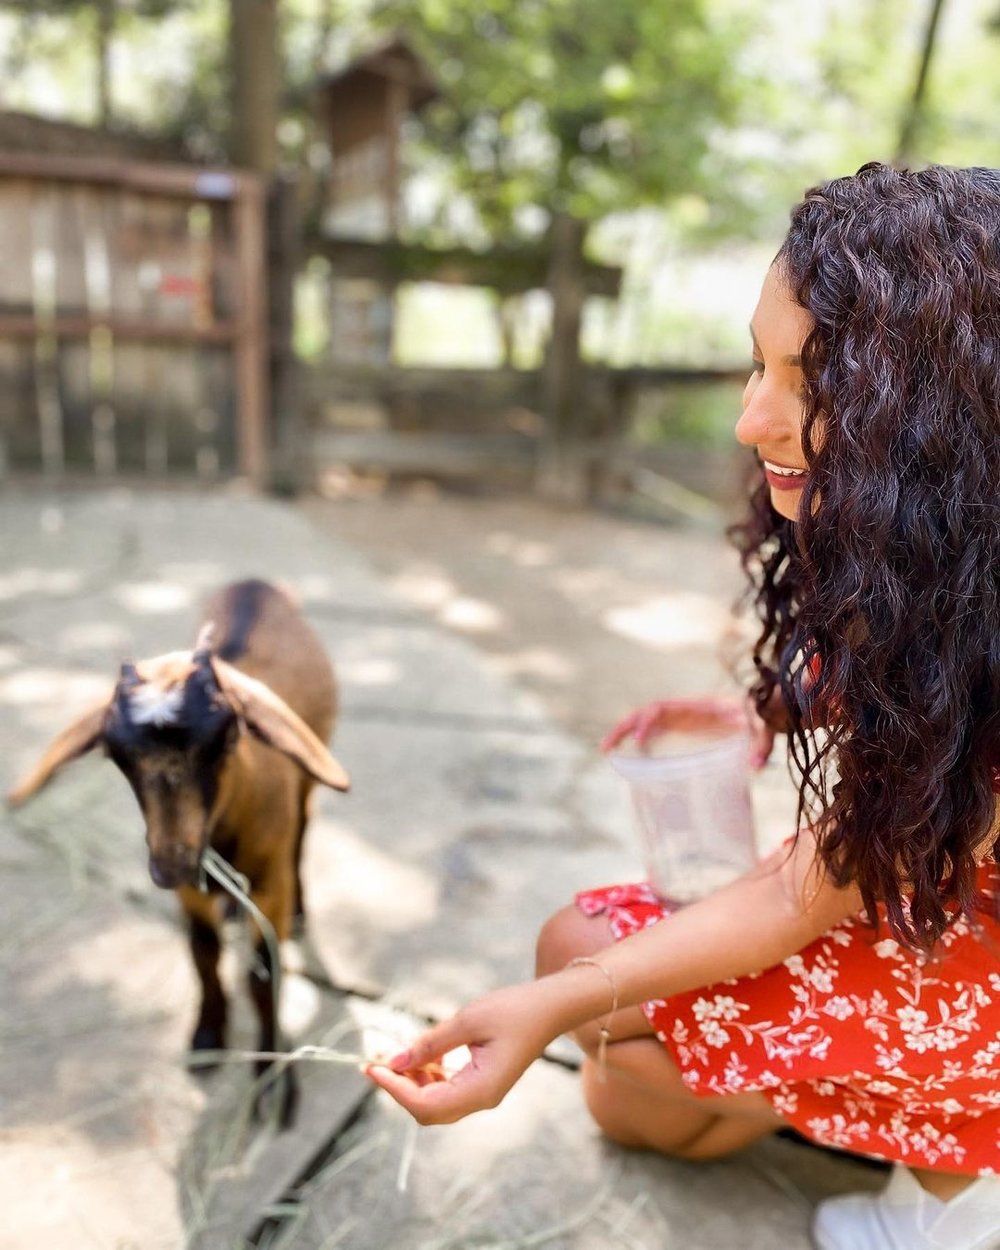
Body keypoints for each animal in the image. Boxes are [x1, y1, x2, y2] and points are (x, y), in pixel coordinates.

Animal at [5, 577, 350, 1125]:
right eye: (114, 752)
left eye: (228, 735)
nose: (170, 866)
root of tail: (256, 582)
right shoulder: (192, 888)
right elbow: (202, 951)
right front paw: (207, 1038)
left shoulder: (268, 881)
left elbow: (263, 971)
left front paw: (273, 1081)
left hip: (308, 786)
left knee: (304, 830)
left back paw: (298, 913)